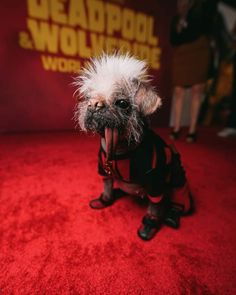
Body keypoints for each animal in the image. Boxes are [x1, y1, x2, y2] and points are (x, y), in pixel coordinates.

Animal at [74, 54, 194, 242]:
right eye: (87, 98)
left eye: (122, 103)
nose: (94, 104)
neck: (119, 149)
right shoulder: (104, 171)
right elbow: (106, 187)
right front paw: (105, 200)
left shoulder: (155, 183)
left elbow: (154, 208)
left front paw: (149, 225)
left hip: (177, 178)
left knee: (179, 201)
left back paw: (172, 216)